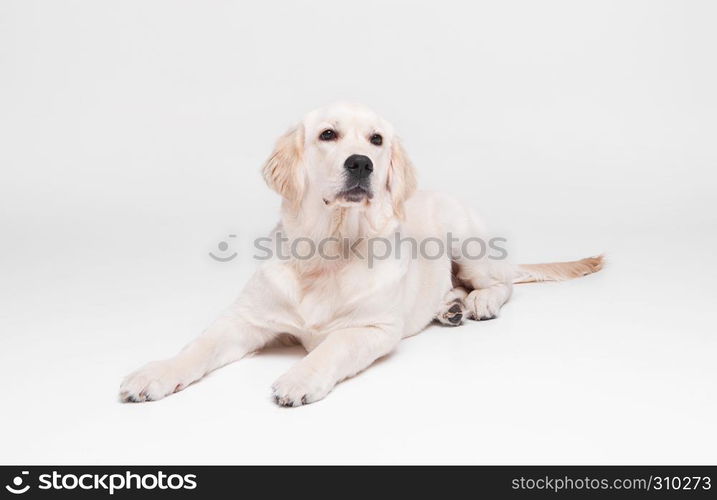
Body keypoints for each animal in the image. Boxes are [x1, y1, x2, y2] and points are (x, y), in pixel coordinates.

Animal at [120, 101, 600, 406]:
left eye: (376, 139)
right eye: (327, 134)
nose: (361, 163)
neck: (328, 252)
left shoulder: (372, 328)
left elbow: (332, 347)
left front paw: (300, 376)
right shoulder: (245, 319)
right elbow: (198, 346)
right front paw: (155, 373)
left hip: (466, 238)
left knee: (500, 284)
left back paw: (478, 302)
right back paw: (449, 307)